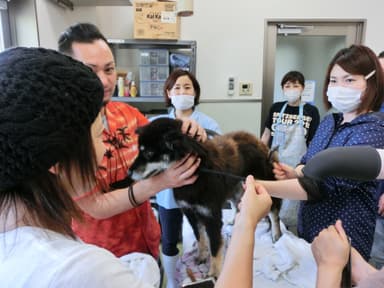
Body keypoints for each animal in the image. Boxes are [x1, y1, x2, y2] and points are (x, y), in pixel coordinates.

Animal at [130, 118, 282, 278]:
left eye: (149, 153)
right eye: (139, 150)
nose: (129, 172)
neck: (198, 173)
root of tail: (259, 143)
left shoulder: (211, 217)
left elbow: (215, 247)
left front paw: (214, 273)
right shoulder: (190, 212)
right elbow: (200, 238)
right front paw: (202, 256)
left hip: (264, 186)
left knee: (274, 213)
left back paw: (276, 234)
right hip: (236, 188)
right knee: (237, 205)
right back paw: (235, 219)